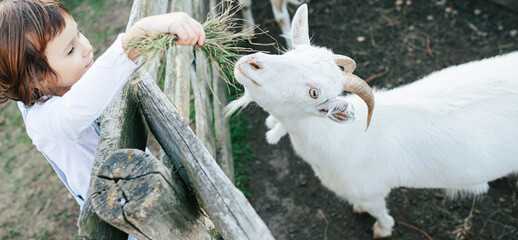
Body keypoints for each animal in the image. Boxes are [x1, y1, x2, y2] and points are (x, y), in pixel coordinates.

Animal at [229, 3, 518, 238]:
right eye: (289, 54)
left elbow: (378, 212)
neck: (340, 137)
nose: (252, 63)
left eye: (314, 93)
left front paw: (383, 228)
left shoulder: (372, 192)